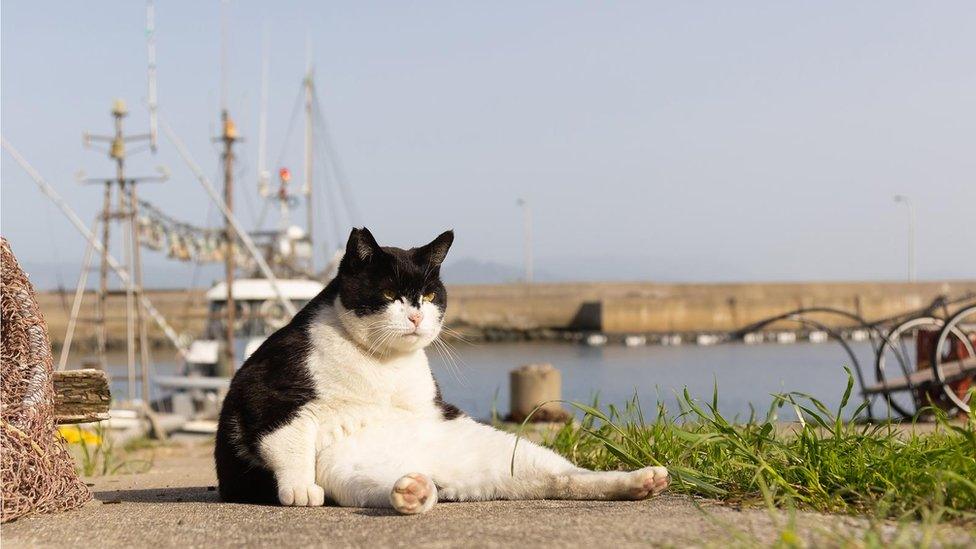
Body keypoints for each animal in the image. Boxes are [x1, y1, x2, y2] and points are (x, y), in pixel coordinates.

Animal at [216, 225, 668, 512]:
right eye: (389, 294)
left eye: (431, 295)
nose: (416, 316)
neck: (381, 363)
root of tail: (440, 473)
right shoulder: (267, 393)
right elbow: (289, 443)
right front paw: (297, 488)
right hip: (343, 470)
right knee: (394, 489)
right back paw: (414, 491)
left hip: (503, 452)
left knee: (565, 477)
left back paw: (640, 481)